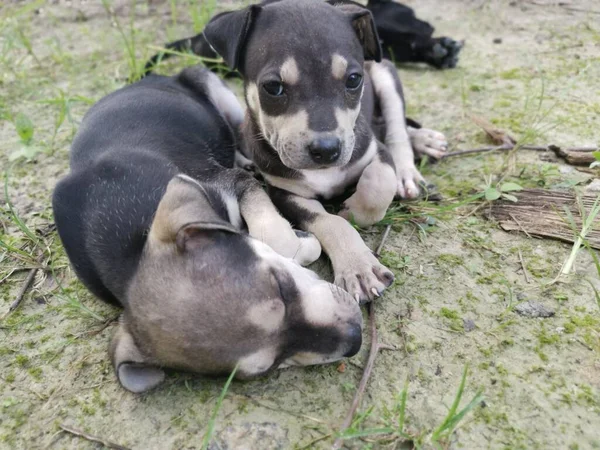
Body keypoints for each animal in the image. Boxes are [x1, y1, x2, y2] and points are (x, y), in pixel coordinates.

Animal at [54, 67, 364, 394]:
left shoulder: (230, 180)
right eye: (271, 365)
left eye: (281, 285)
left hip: (215, 89)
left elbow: (275, 235)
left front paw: (298, 242)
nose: (356, 338)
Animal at [204, 0, 448, 302]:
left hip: (386, 74)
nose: (327, 150)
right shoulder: (285, 193)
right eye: (272, 87)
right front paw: (359, 267)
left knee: (396, 129)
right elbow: (330, 222)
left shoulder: (374, 151)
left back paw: (414, 160)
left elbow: (377, 187)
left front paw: (352, 209)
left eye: (353, 79)